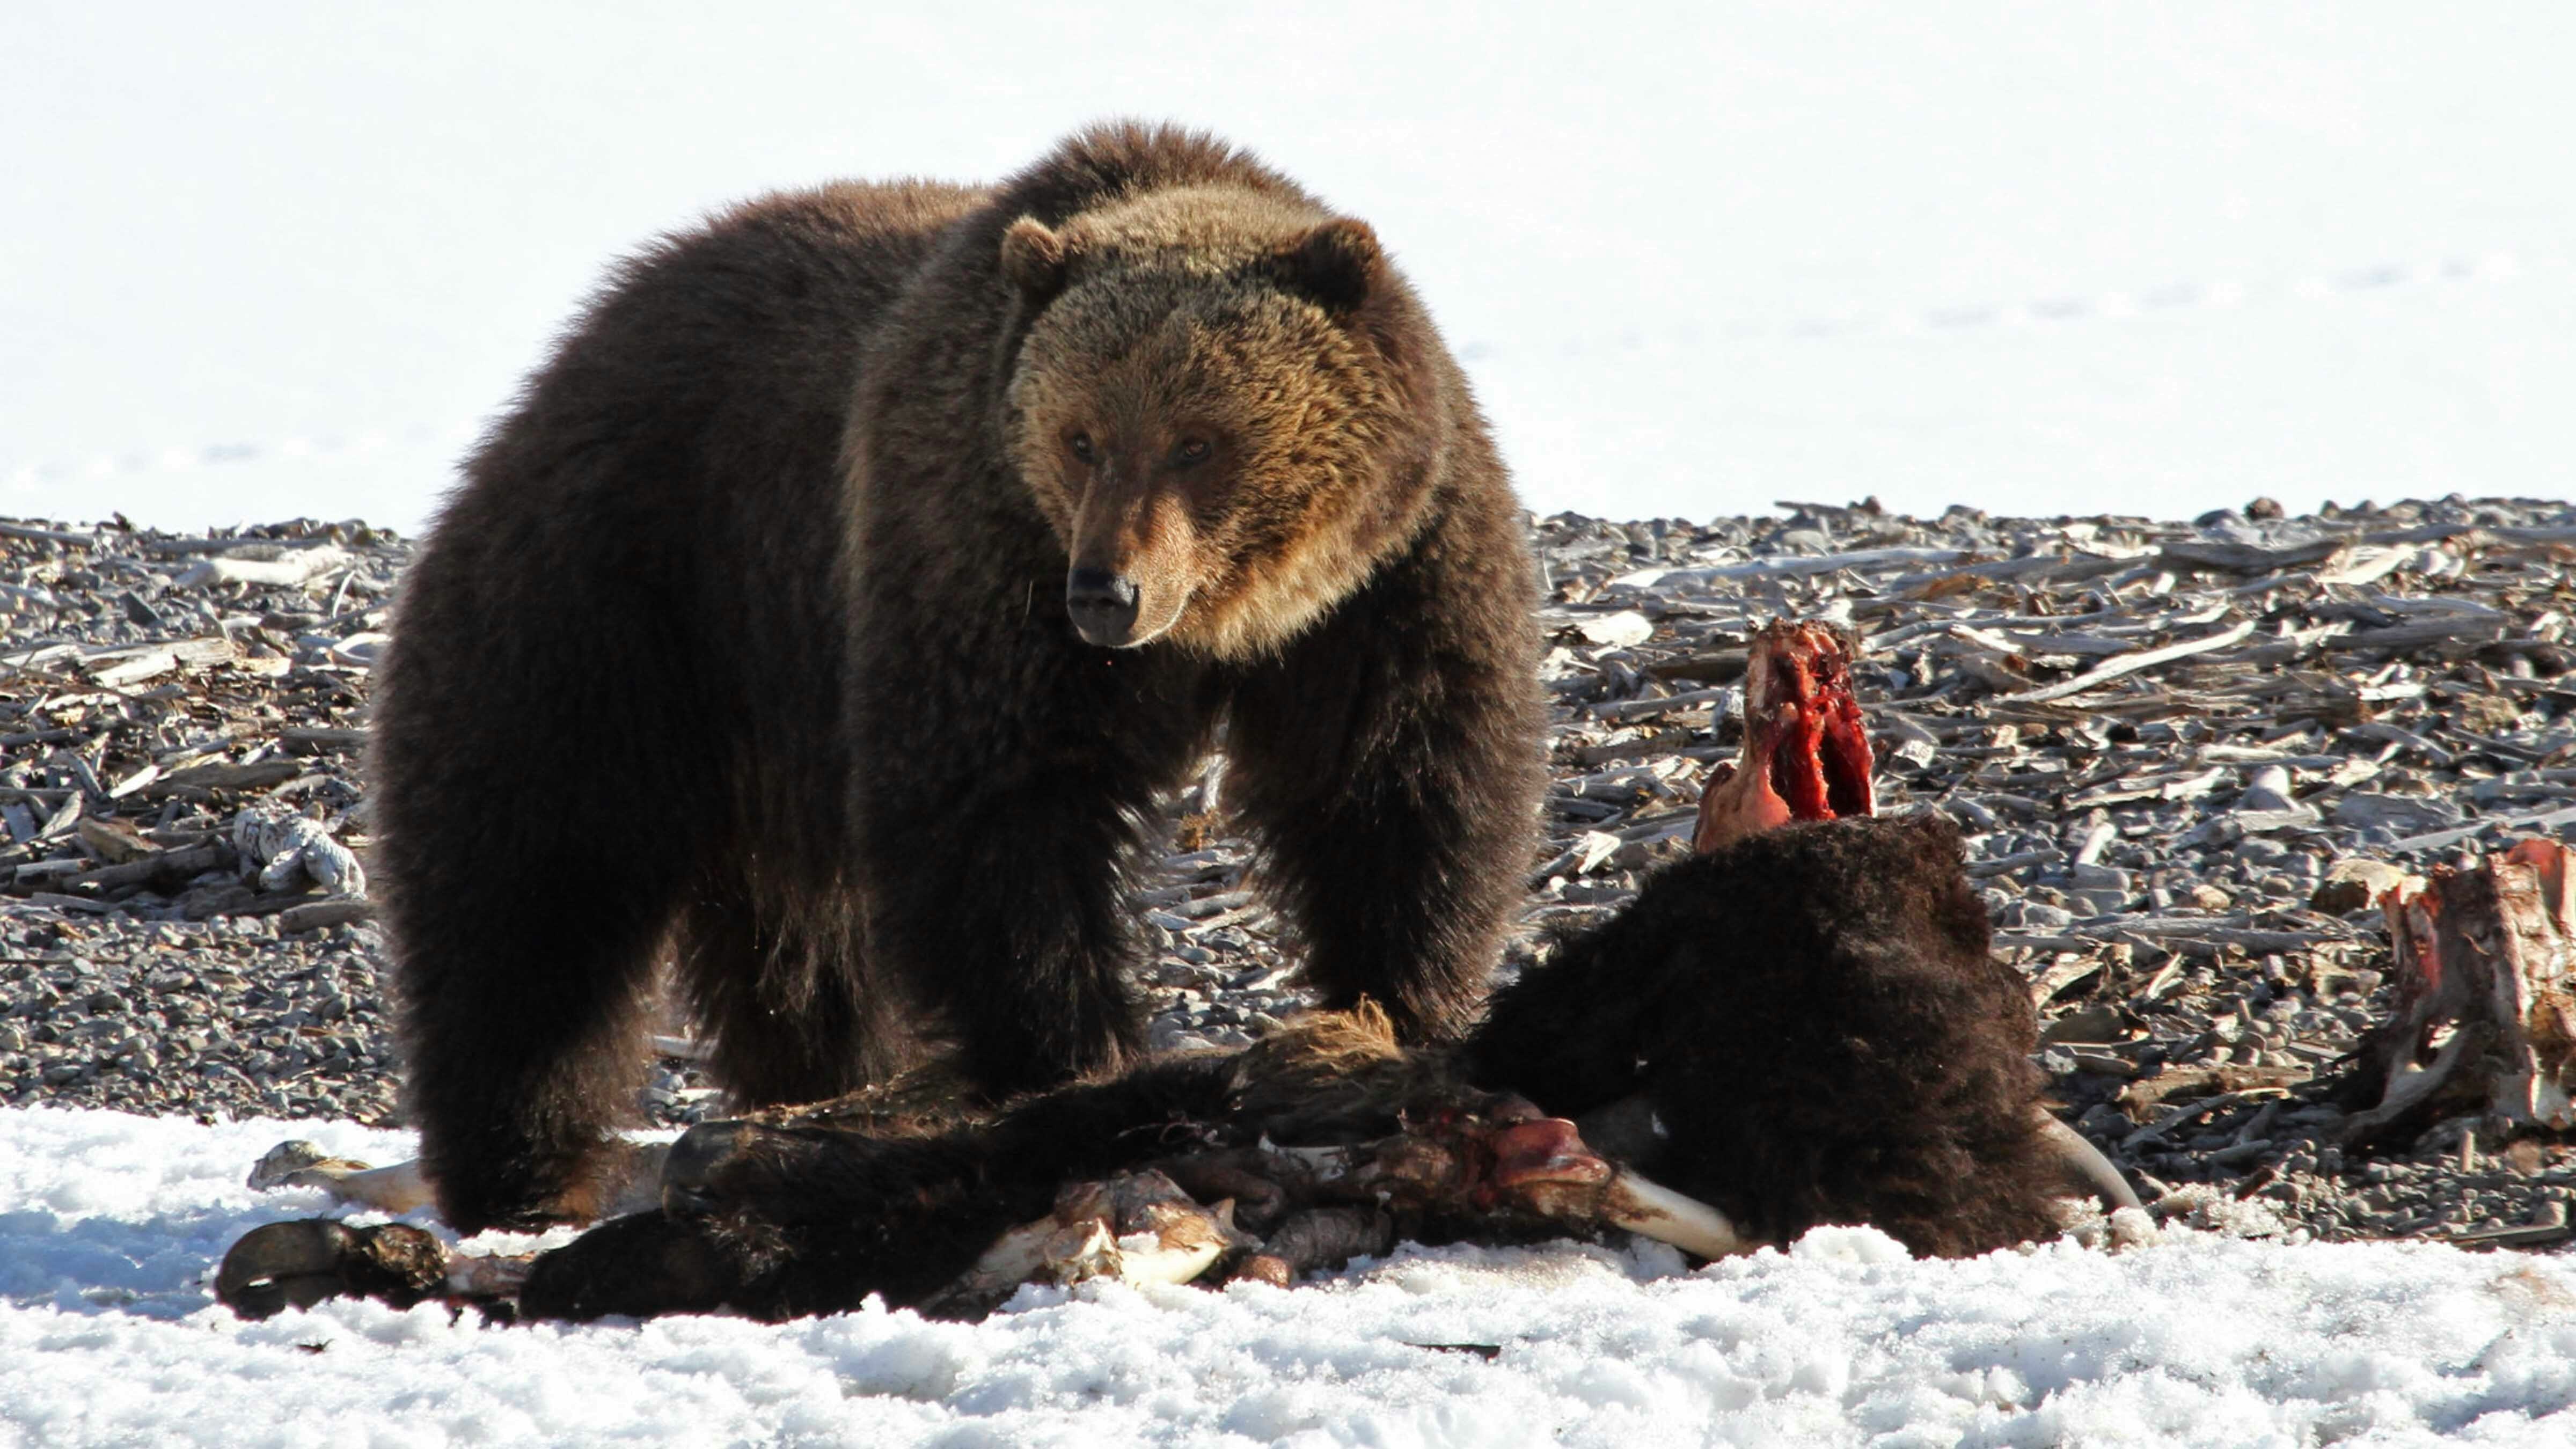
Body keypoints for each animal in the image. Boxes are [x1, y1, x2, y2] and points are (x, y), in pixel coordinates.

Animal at [370, 123, 1546, 1234]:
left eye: (1199, 441)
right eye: (1082, 437)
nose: (1107, 592)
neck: (1231, 624)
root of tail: (580, 343)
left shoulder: (1391, 582)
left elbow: (1401, 785)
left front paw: (1389, 1015)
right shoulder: (977, 556)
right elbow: (998, 812)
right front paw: (1074, 1059)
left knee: (802, 950)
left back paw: (817, 1087)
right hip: (629, 592)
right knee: (534, 888)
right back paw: (524, 1172)